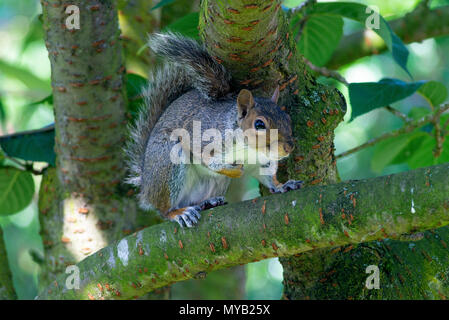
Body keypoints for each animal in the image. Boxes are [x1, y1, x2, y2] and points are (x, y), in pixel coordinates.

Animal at [124, 32, 302, 228]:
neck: (249, 150)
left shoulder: (261, 162)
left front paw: (282, 185)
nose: (288, 147)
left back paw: (207, 202)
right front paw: (235, 170)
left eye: (287, 118)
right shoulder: (202, 138)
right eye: (259, 125)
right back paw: (179, 212)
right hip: (168, 161)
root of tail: (146, 186)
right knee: (164, 210)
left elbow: (268, 177)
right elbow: (209, 161)